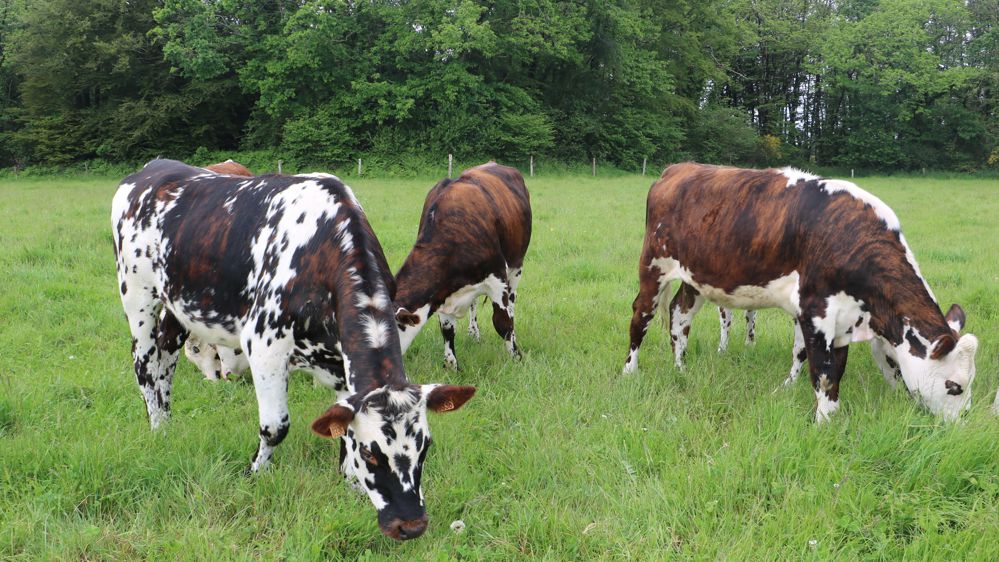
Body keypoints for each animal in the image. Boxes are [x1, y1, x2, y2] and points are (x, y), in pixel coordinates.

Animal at [112, 159, 476, 540]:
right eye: (371, 454)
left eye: (425, 447)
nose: (411, 525)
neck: (321, 250)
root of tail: (153, 167)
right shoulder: (263, 344)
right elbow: (275, 426)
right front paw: (256, 473)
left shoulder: (341, 362)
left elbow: (341, 423)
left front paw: (350, 484)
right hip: (137, 297)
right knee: (145, 366)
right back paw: (157, 427)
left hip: (177, 305)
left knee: (167, 358)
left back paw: (167, 422)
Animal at [394, 163, 532, 370]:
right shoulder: (442, 292)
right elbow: (447, 329)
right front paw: (452, 366)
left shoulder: (497, 279)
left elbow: (503, 323)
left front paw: (516, 357)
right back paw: (473, 331)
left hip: (516, 267)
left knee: (512, 304)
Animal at [622, 163, 978, 422]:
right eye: (954, 387)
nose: (960, 424)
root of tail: (677, 169)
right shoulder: (816, 311)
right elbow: (821, 371)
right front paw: (826, 422)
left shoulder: (843, 322)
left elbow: (830, 367)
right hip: (653, 266)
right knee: (641, 315)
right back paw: (630, 370)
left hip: (695, 278)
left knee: (679, 316)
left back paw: (681, 367)